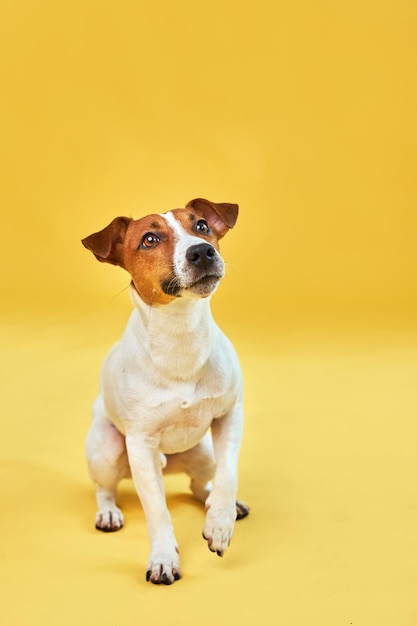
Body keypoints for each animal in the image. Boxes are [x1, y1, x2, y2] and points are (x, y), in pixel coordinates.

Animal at [82, 197, 249, 584]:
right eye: (149, 239)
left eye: (202, 226)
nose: (201, 251)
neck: (180, 336)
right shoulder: (141, 446)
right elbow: (157, 510)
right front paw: (162, 558)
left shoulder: (230, 415)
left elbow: (228, 474)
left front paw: (220, 524)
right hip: (109, 450)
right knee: (105, 489)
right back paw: (108, 513)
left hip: (203, 452)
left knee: (201, 484)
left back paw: (218, 504)